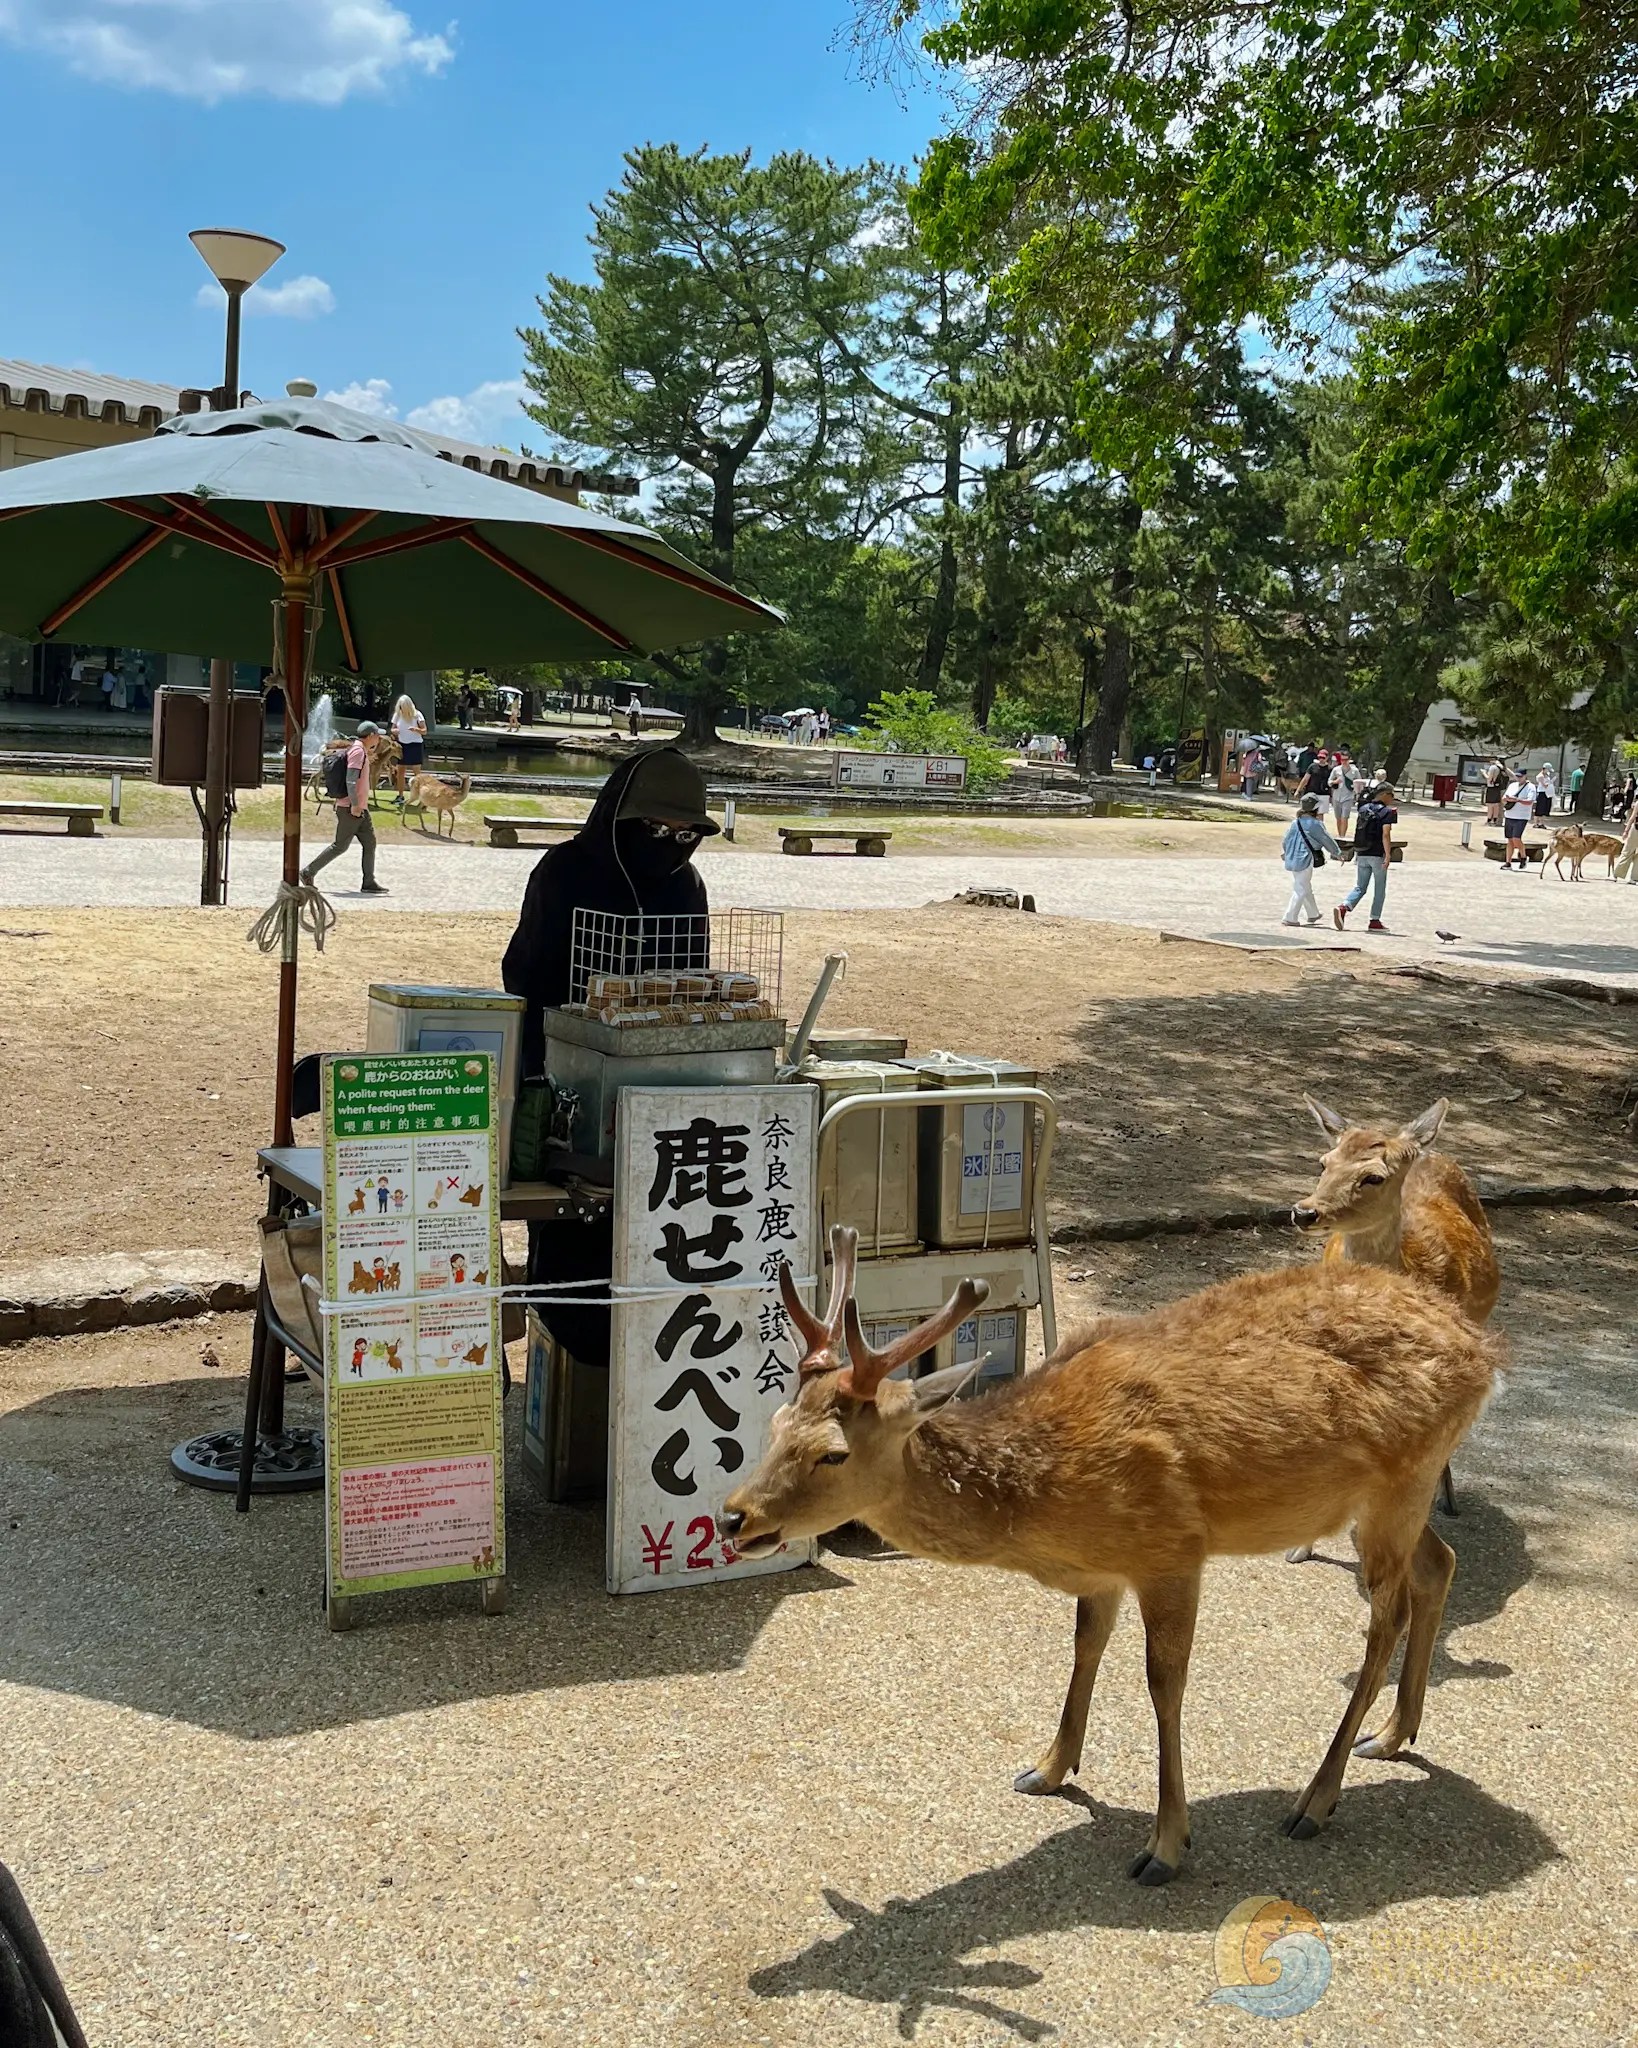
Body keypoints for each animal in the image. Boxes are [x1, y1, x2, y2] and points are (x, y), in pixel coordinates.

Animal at [720, 1225, 1496, 1888]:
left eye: (833, 1454)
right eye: (776, 1421)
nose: (734, 1516)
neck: (1050, 1508)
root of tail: (1486, 1350)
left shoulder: (1173, 1548)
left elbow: (1164, 1685)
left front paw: (1165, 1844)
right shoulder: (1102, 1571)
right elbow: (1084, 1645)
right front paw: (1047, 1767)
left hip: (1402, 1481)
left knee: (1385, 1616)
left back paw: (1316, 1797)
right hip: (1387, 1500)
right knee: (1441, 1565)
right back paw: (1393, 1734)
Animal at [1286, 1096, 1500, 1559]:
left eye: (1373, 1176)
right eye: (1323, 1162)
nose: (1305, 1211)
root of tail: (1428, 1151)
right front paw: (1301, 1547)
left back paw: (1446, 1497)